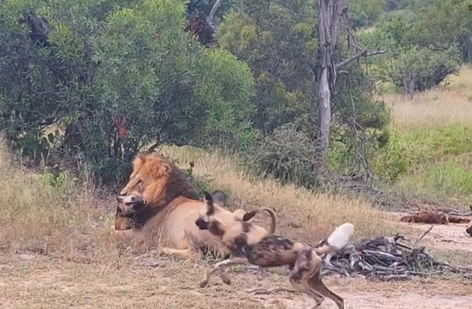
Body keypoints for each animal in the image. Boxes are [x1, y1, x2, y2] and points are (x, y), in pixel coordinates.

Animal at [110, 151, 276, 258]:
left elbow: (111, 233)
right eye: (131, 178)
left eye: (140, 182)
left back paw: (161, 250)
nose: (121, 195)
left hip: (195, 223)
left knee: (196, 254)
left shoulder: (144, 234)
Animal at [195, 190, 354, 308]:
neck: (229, 225)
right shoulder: (235, 258)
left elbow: (216, 266)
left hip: (297, 281)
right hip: (314, 282)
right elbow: (220, 268)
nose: (196, 222)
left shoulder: (242, 258)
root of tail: (314, 250)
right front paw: (224, 280)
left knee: (319, 299)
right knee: (338, 299)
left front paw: (205, 282)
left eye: (200, 216)